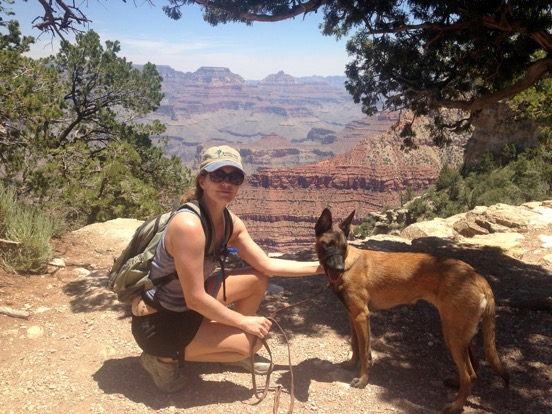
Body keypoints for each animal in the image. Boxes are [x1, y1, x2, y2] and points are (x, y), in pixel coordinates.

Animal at [314, 209, 508, 412]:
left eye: (343, 247)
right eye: (327, 245)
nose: (339, 269)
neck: (348, 262)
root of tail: (476, 275)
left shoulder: (361, 316)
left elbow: (365, 352)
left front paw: (362, 380)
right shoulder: (352, 316)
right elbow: (355, 346)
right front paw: (351, 365)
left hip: (452, 335)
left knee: (470, 375)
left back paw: (455, 405)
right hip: (460, 333)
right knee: (473, 365)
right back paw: (456, 385)